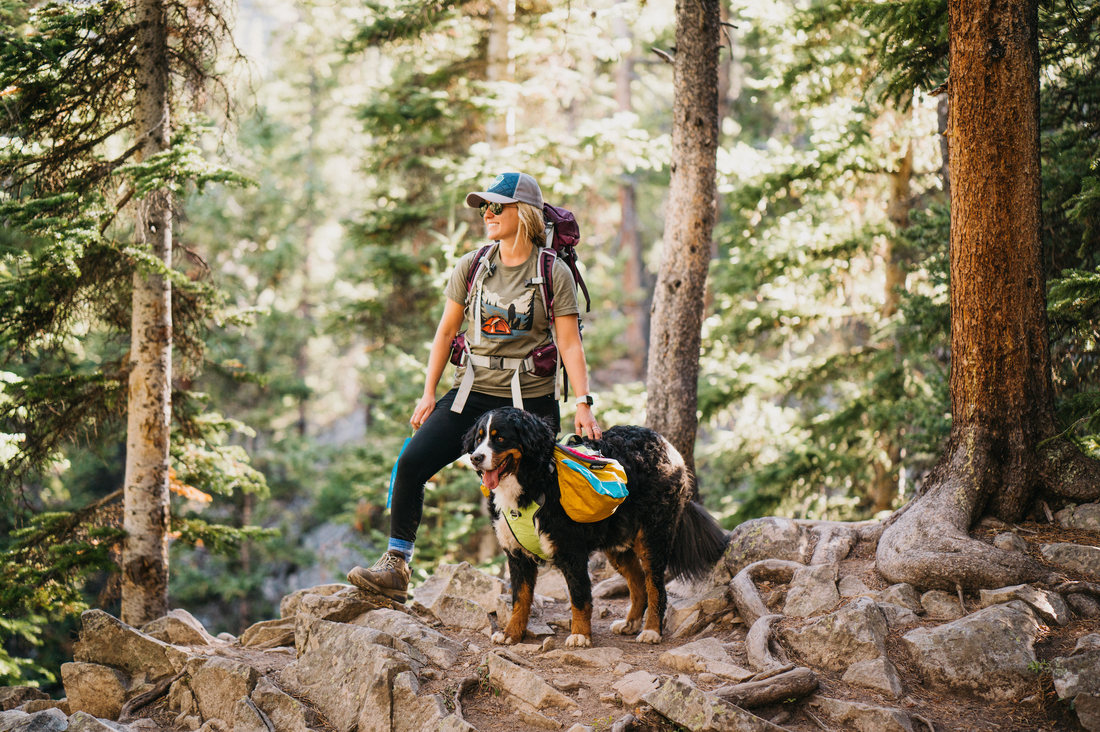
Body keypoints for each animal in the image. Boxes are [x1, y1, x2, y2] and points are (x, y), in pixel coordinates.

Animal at [464, 405, 730, 647]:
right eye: (478, 439)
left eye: (499, 438)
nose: (475, 457)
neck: (530, 484)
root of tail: (664, 443)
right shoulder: (517, 554)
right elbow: (520, 599)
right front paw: (512, 633)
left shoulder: (571, 551)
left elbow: (579, 598)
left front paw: (580, 635)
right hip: (617, 542)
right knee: (638, 583)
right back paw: (631, 623)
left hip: (653, 535)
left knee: (655, 587)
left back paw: (651, 630)